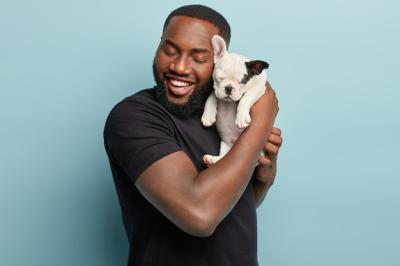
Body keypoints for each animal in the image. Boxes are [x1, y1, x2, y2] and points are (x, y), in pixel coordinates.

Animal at [200, 34, 268, 165]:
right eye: (219, 78)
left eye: (242, 81)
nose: (228, 88)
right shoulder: (216, 89)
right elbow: (211, 97)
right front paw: (208, 116)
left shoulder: (259, 86)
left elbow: (246, 98)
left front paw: (241, 117)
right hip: (225, 145)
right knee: (224, 158)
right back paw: (212, 160)